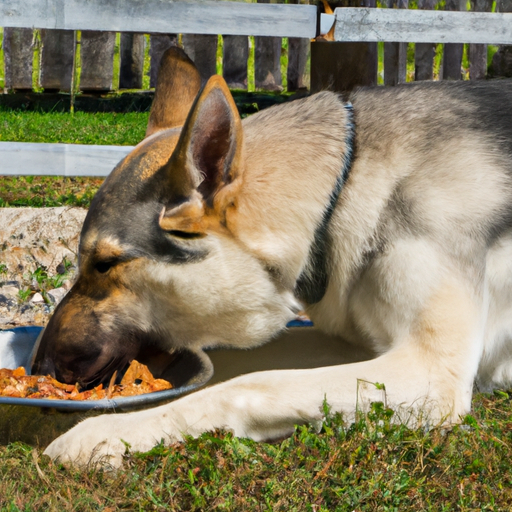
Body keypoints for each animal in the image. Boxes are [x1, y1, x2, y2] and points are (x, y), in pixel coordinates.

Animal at [37, 49, 512, 468]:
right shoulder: (352, 343)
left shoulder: (430, 372)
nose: (42, 369)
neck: (340, 193)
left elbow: (250, 383)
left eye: (104, 264)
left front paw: (105, 432)